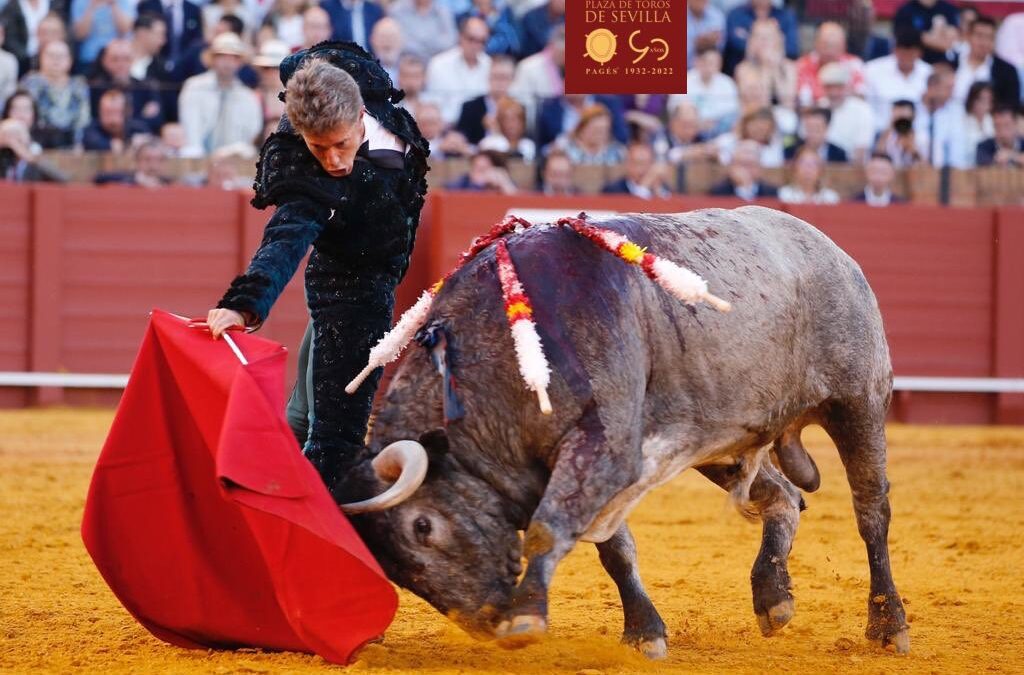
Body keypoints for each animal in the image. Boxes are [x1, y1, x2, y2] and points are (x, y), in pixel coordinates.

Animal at [329, 206, 913, 659]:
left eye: (423, 527)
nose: (487, 621)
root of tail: (830, 250)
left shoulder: (603, 446)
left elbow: (548, 527)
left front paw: (527, 618)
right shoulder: (607, 463)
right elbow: (614, 549)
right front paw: (644, 632)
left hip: (858, 402)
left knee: (871, 511)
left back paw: (888, 625)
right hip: (721, 440)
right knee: (784, 498)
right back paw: (773, 599)